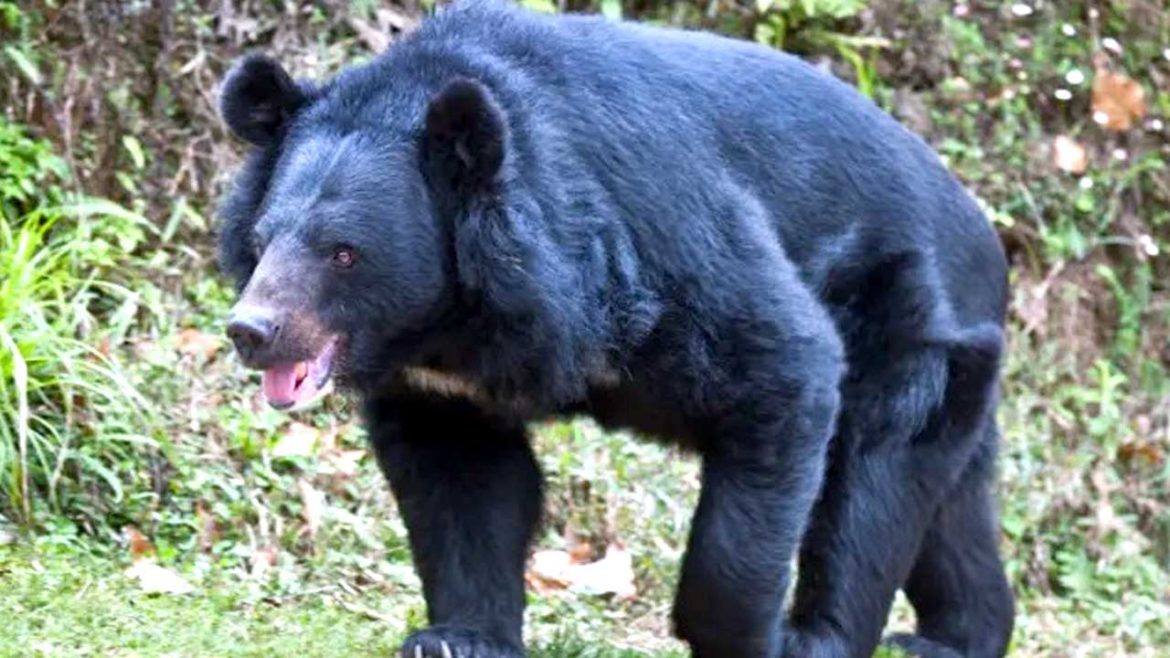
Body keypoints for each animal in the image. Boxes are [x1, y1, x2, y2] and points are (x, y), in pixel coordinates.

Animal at [216, 2, 1014, 657]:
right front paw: (456, 639)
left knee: (872, 487)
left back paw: (821, 639)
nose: (252, 330)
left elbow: (782, 366)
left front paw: (739, 636)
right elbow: (462, 485)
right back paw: (952, 640)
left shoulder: (659, 243)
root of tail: (985, 236)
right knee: (949, 505)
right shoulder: (442, 387)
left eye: (344, 253)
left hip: (910, 325)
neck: (453, 322)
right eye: (262, 239)